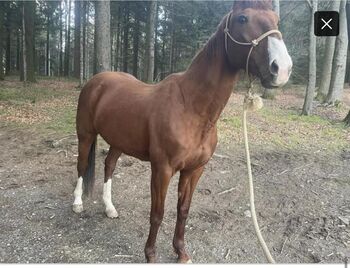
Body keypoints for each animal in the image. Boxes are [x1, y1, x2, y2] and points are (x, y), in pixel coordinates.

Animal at [72, 0, 292, 262]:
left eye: (277, 20)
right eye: (242, 19)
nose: (282, 68)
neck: (191, 108)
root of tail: (96, 81)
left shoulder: (194, 170)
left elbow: (183, 210)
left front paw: (181, 252)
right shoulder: (162, 170)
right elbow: (157, 213)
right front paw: (150, 255)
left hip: (118, 141)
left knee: (109, 166)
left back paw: (109, 208)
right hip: (85, 135)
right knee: (82, 165)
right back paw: (77, 204)